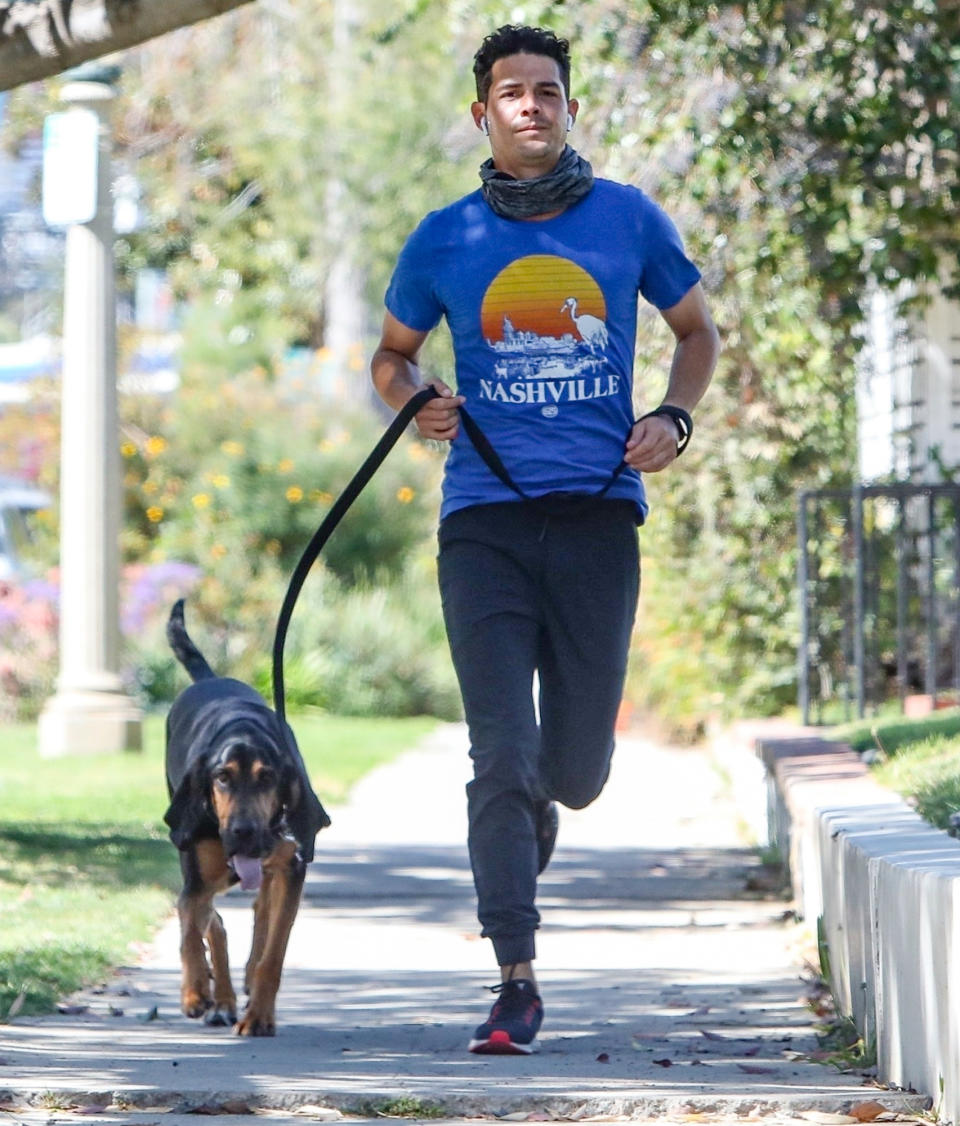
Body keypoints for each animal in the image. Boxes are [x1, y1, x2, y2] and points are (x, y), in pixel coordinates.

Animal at [164, 599, 328, 1035]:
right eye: (221, 777)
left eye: (267, 778)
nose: (243, 832)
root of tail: (212, 679)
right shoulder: (197, 880)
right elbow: (190, 930)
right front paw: (195, 992)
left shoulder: (291, 870)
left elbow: (273, 953)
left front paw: (259, 1016)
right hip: (203, 866)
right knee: (215, 922)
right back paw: (218, 999)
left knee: (256, 916)